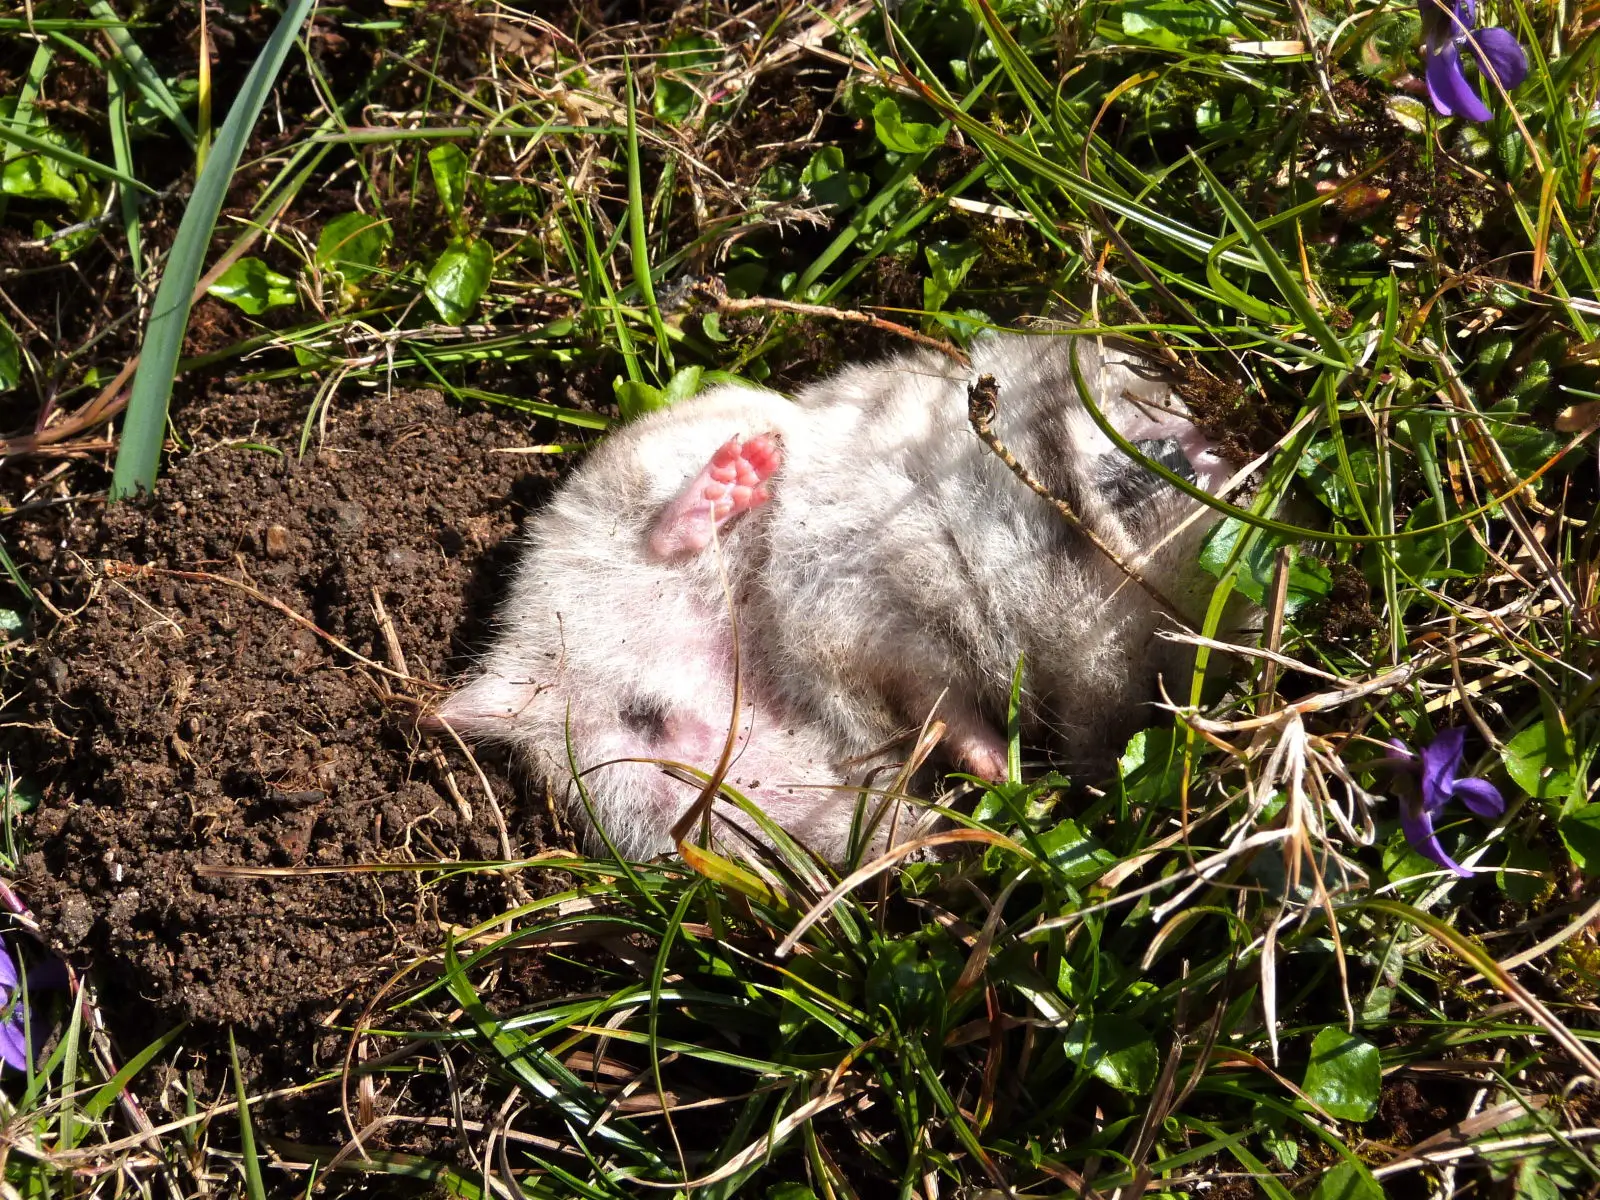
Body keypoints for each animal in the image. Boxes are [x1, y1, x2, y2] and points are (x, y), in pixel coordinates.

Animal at [433, 332, 1233, 860]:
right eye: (1139, 400)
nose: (1209, 445)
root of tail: (525, 680)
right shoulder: (890, 606)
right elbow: (941, 693)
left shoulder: (914, 649)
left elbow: (951, 708)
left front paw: (1009, 769)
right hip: (660, 456)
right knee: (660, 531)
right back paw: (738, 475)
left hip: (755, 801)